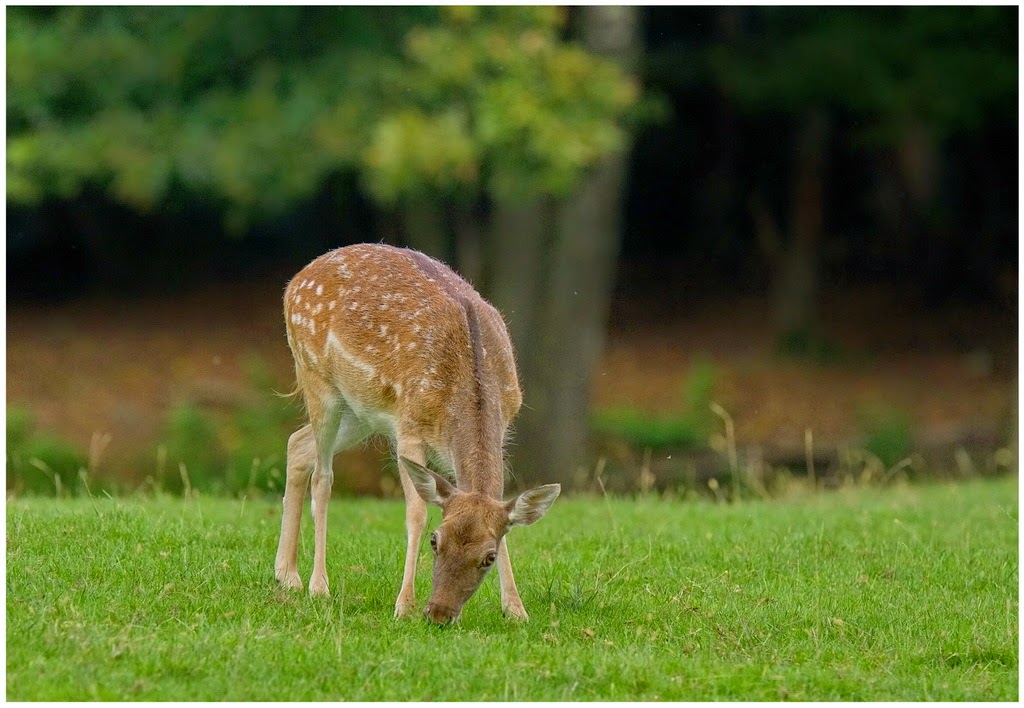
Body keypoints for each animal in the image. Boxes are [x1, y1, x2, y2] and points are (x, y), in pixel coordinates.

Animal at [272, 240, 561, 622]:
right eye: (435, 541)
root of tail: (294, 281)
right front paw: (404, 604)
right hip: (317, 379)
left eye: (489, 556)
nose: (438, 613)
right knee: (323, 476)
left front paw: (515, 609)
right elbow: (417, 511)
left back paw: (285, 574)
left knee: (296, 443)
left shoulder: (502, 428)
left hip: (361, 413)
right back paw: (317, 585)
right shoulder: (409, 426)